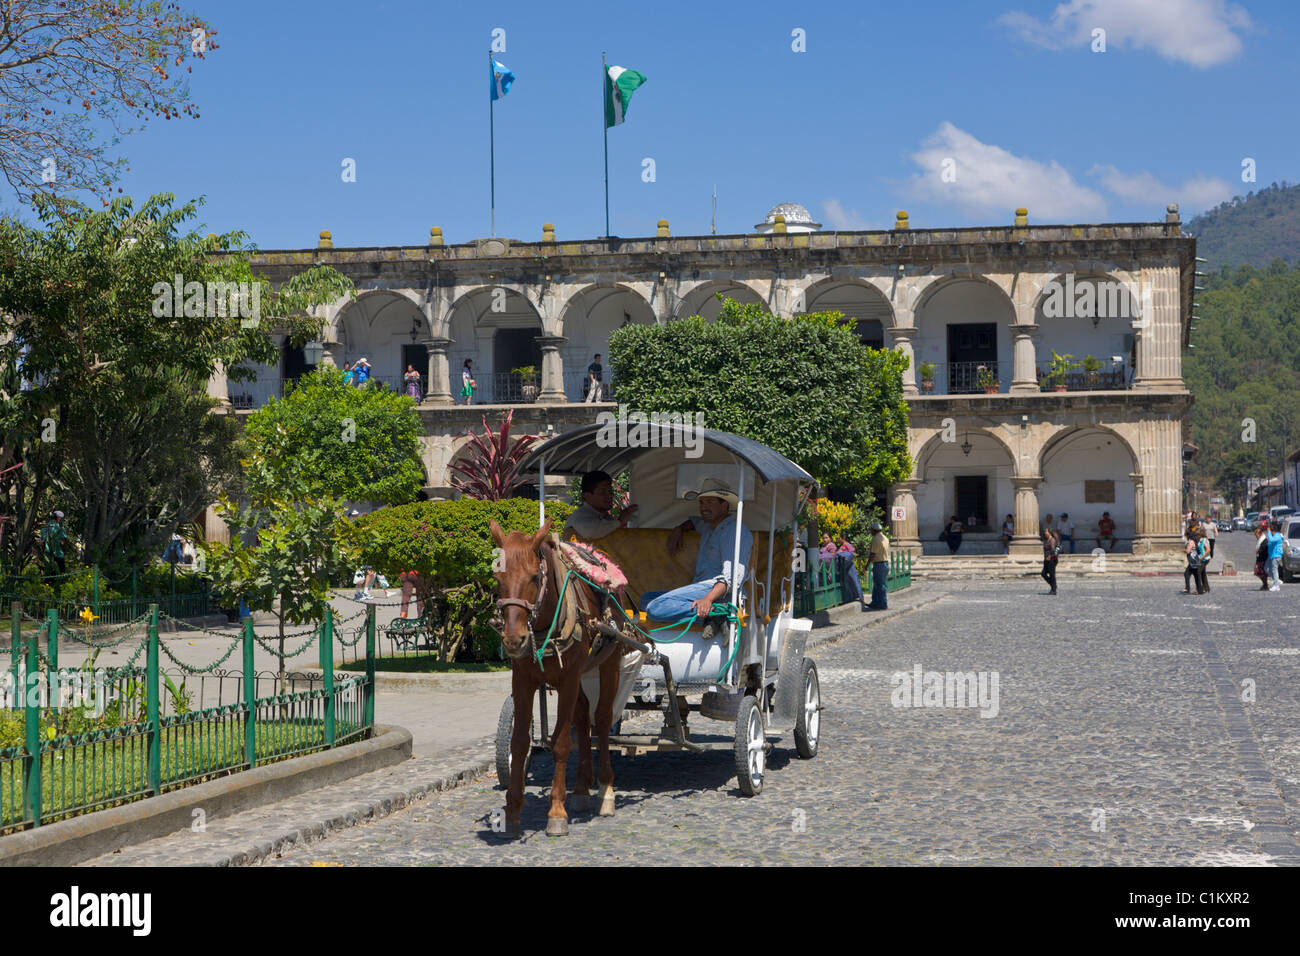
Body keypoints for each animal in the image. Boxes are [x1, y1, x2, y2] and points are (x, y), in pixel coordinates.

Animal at [488, 520, 626, 842]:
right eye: (497, 576)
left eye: (534, 576)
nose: (513, 639)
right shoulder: (523, 679)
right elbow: (519, 742)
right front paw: (512, 812)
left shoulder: (569, 677)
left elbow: (561, 743)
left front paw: (556, 813)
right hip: (581, 674)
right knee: (582, 719)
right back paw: (581, 787)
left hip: (608, 662)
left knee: (601, 719)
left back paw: (605, 789)